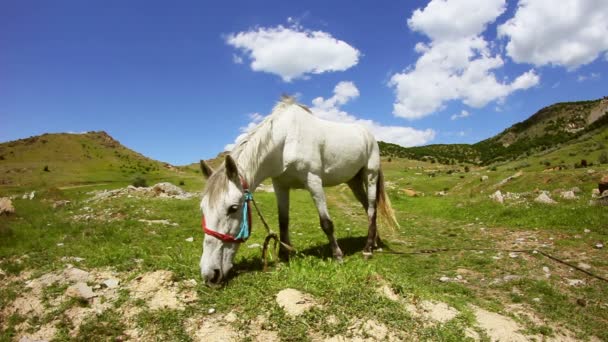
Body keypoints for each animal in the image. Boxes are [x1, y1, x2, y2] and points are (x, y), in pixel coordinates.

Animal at [198, 97, 400, 286]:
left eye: (233, 208)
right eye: (203, 209)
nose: (210, 275)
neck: (286, 140)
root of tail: (369, 135)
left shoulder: (313, 181)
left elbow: (326, 223)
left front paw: (338, 256)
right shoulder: (280, 186)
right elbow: (283, 222)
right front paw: (283, 255)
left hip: (370, 175)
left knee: (372, 209)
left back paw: (368, 249)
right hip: (354, 181)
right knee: (367, 207)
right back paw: (375, 242)